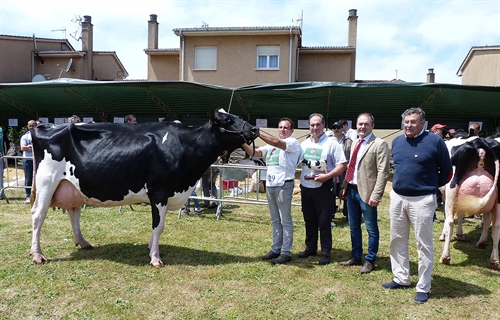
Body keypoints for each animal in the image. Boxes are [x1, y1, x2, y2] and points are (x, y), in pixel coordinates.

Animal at [29, 110, 260, 268]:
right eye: (228, 120)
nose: (255, 129)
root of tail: (42, 127)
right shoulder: (159, 191)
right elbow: (158, 226)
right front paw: (155, 258)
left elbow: (157, 226)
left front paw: (151, 249)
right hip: (46, 183)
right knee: (38, 216)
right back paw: (37, 255)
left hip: (73, 187)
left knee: (74, 213)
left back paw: (83, 242)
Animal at [438, 136, 500, 268]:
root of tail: (478, 141)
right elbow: (462, 214)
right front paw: (460, 235)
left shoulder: (445, 196)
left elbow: (448, 218)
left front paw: (444, 235)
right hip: (498, 198)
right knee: (496, 225)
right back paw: (493, 260)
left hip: (452, 188)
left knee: (450, 221)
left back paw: (445, 257)